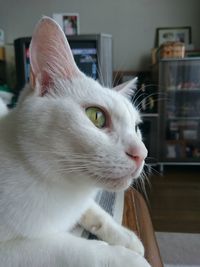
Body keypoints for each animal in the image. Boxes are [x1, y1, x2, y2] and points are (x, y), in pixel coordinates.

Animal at [0, 17, 150, 267]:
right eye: (96, 116)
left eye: (137, 127)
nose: (142, 154)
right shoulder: (12, 251)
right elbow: (75, 249)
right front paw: (127, 258)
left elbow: (96, 211)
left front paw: (126, 237)